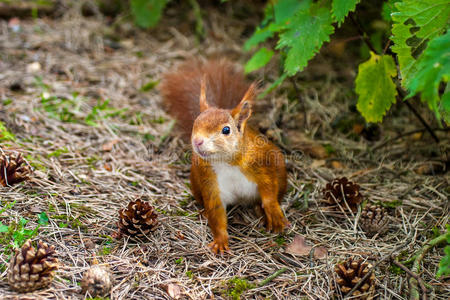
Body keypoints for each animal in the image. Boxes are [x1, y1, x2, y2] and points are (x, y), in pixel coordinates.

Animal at [162, 58, 288, 253]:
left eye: (226, 130)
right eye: (195, 123)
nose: (197, 141)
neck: (225, 161)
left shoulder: (261, 164)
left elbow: (269, 190)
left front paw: (273, 213)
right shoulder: (209, 180)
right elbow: (216, 212)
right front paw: (220, 241)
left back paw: (260, 210)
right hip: (195, 181)